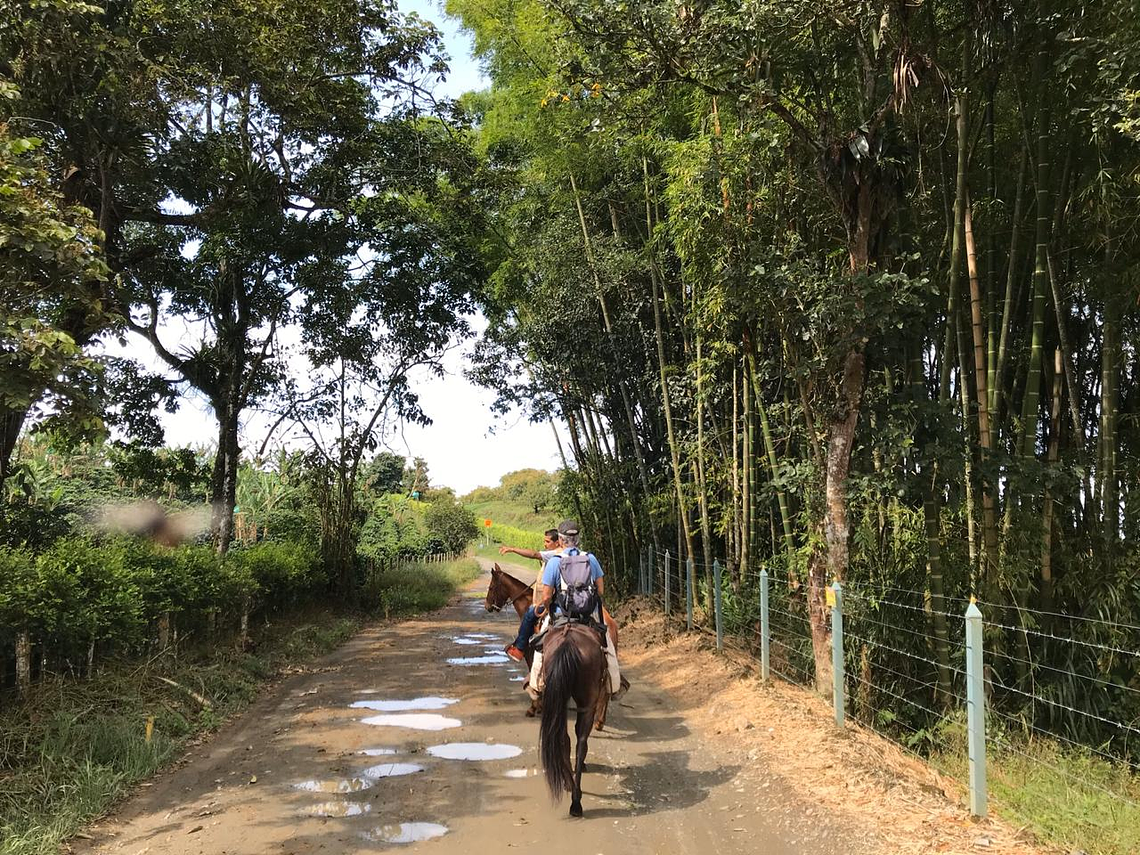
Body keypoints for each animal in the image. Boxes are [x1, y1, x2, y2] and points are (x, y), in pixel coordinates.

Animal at [538, 624, 611, 820]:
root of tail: (568, 643)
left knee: (563, 738)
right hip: (587, 702)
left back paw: (571, 790)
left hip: (559, 700)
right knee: (581, 741)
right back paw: (576, 799)